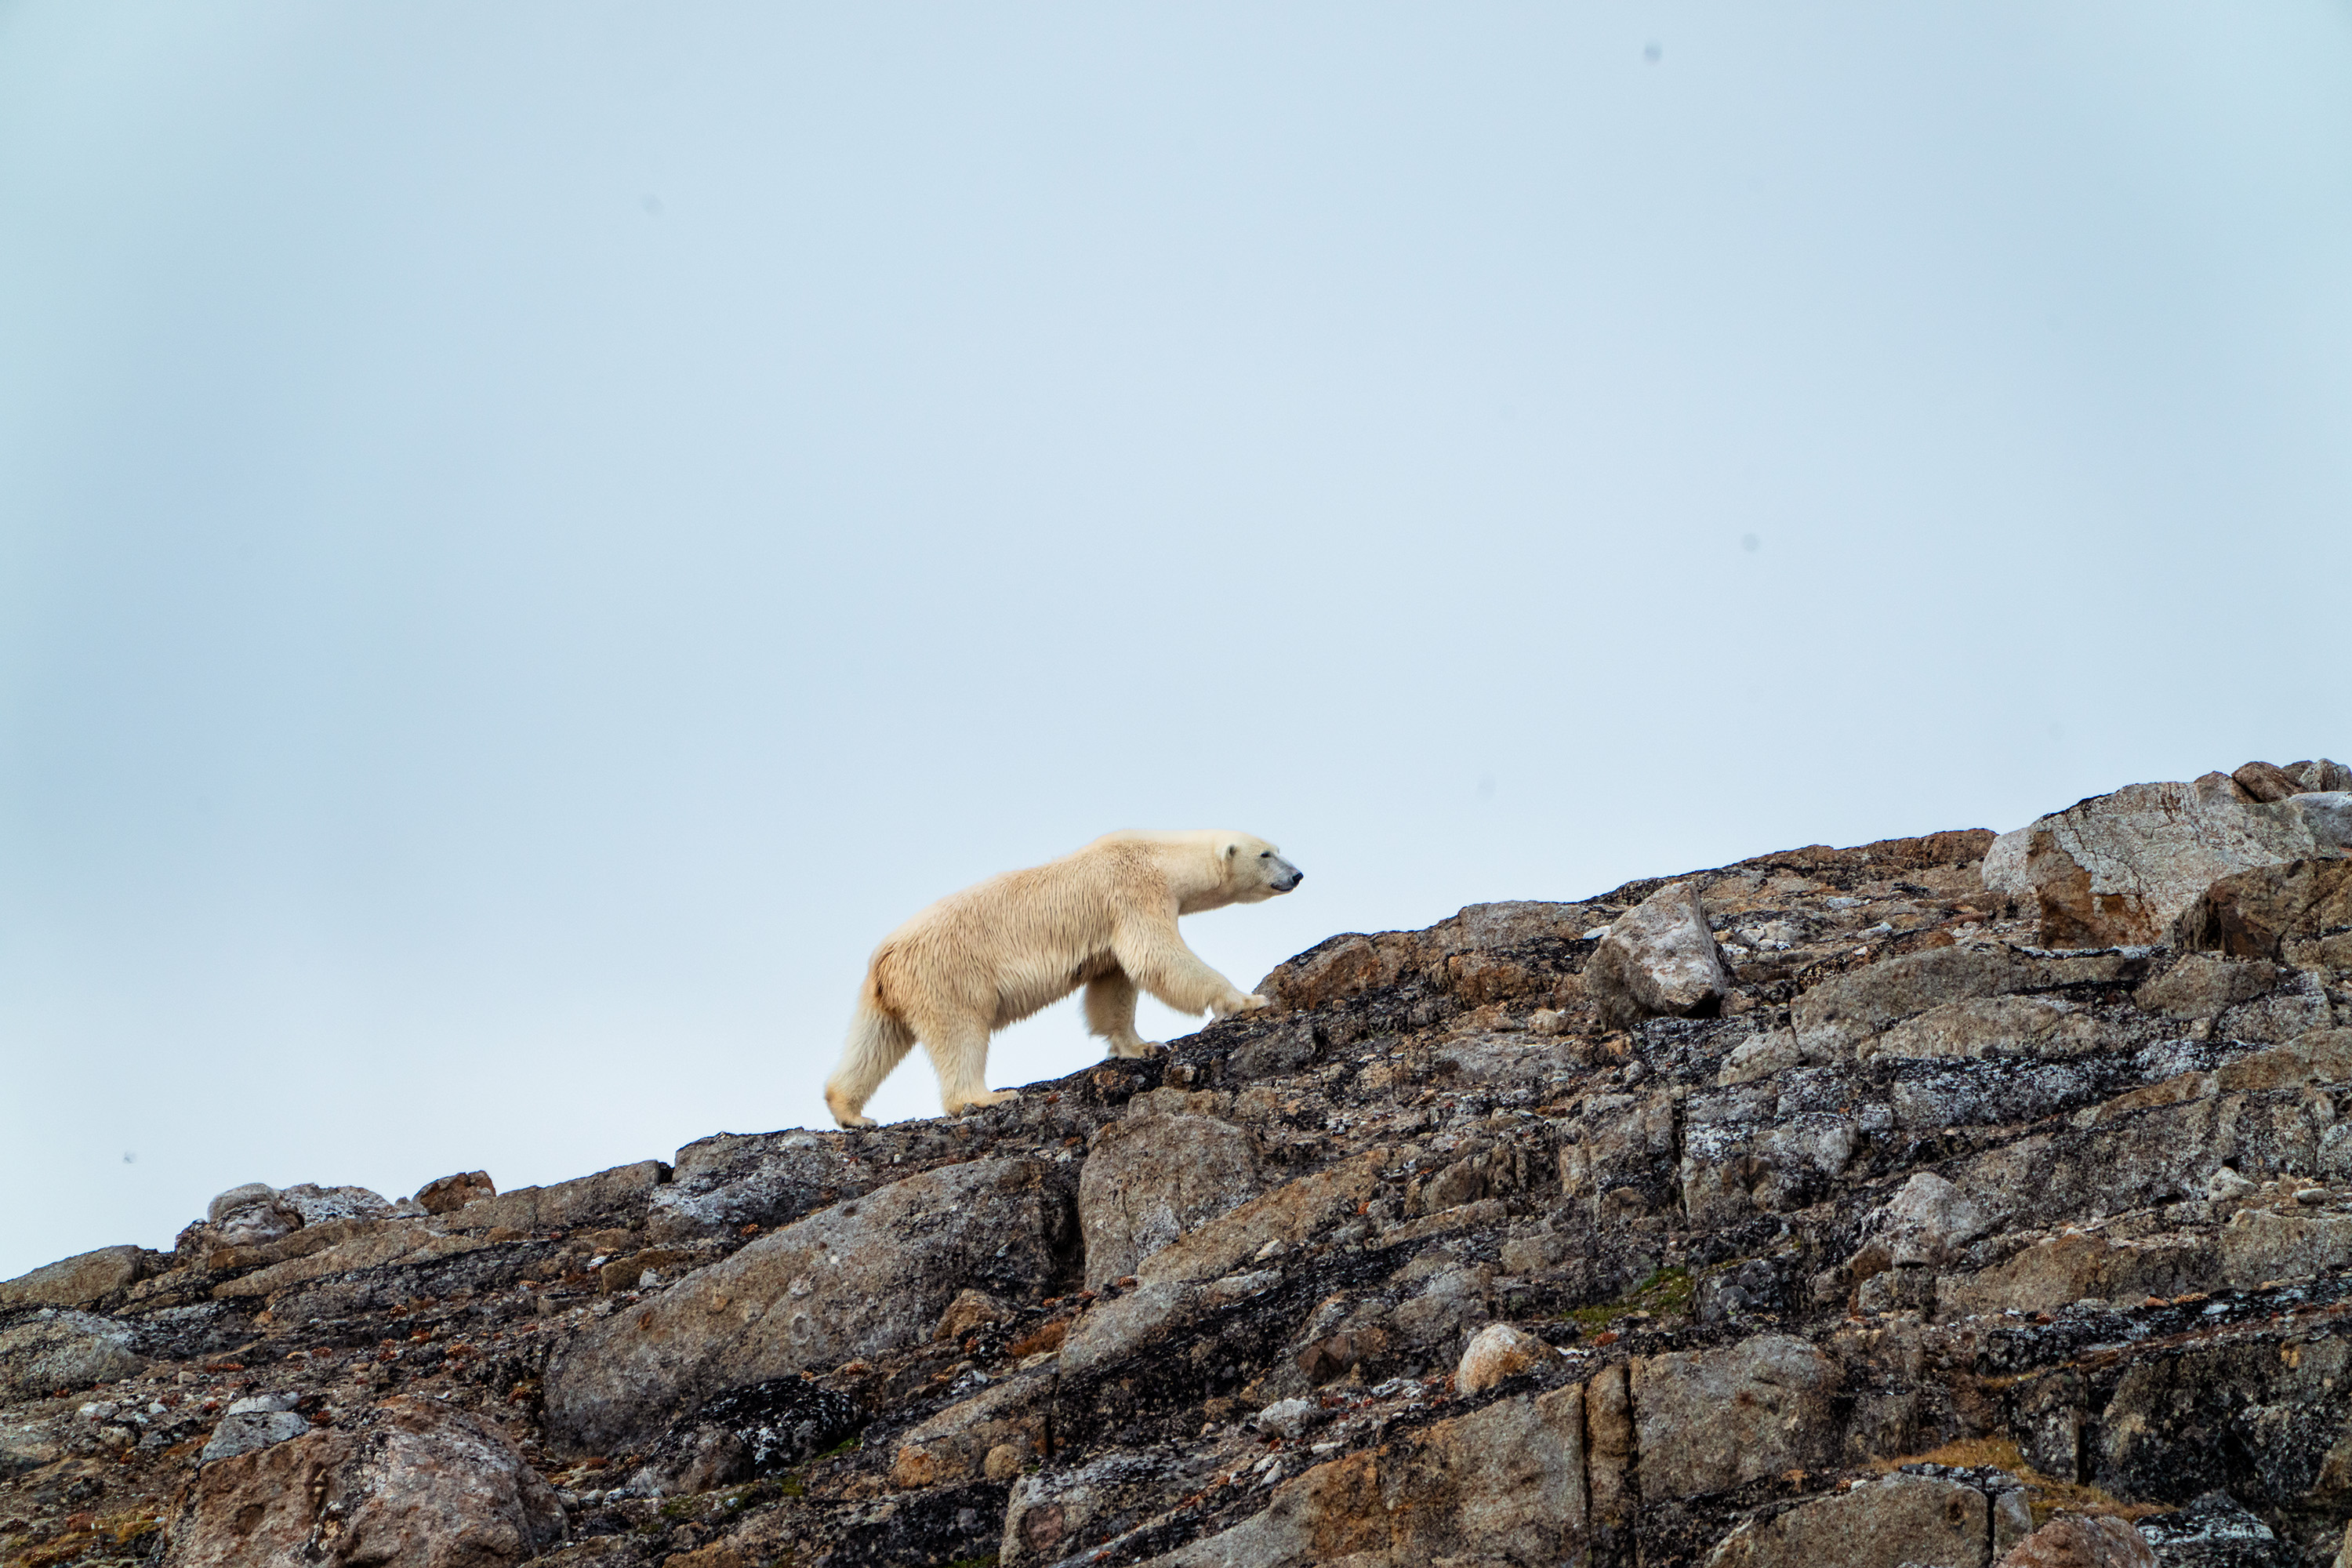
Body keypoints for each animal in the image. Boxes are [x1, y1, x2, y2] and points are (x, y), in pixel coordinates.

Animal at [823, 830, 1303, 1128]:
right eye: (1266, 853)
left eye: (1279, 847)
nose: (1298, 874)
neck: (1157, 855)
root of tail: (884, 959)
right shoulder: (1134, 893)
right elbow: (1157, 957)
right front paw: (1247, 1000)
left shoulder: (1112, 925)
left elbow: (1114, 983)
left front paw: (1142, 1046)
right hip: (947, 974)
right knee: (959, 1032)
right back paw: (987, 1096)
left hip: (889, 992)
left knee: (875, 1041)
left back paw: (850, 1111)